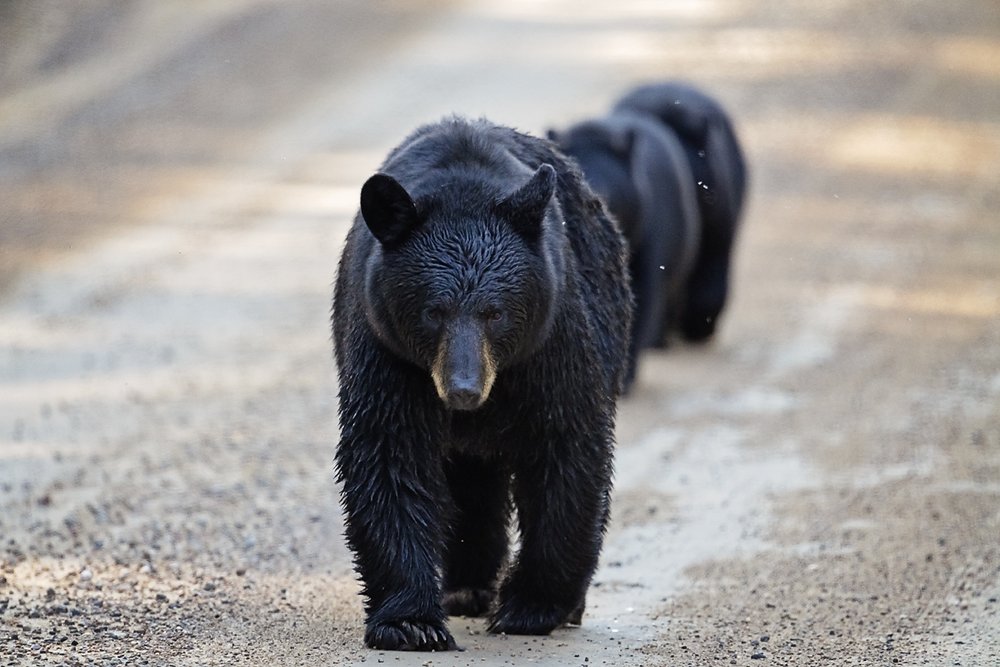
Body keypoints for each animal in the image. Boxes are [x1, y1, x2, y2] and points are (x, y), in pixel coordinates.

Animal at [332, 116, 628, 652]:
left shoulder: (551, 341)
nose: (463, 390)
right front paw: (411, 622)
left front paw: (533, 605)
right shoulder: (386, 349)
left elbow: (565, 446)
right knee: (470, 482)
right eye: (434, 311)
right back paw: (466, 587)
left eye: (495, 313)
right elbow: (388, 451)